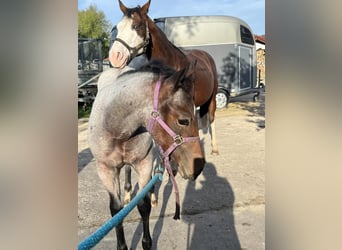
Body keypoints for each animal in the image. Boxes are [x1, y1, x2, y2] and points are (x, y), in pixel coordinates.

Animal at [89, 60, 206, 250]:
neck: (116, 128)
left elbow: (143, 206)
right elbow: (116, 211)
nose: (198, 166)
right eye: (183, 120)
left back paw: (152, 196)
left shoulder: (144, 163)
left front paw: (147, 242)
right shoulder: (105, 169)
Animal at [109, 0, 219, 156]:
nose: (115, 57)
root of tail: (206, 55)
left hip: (213, 96)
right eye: (118, 27)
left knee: (212, 117)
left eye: (136, 25)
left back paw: (215, 148)